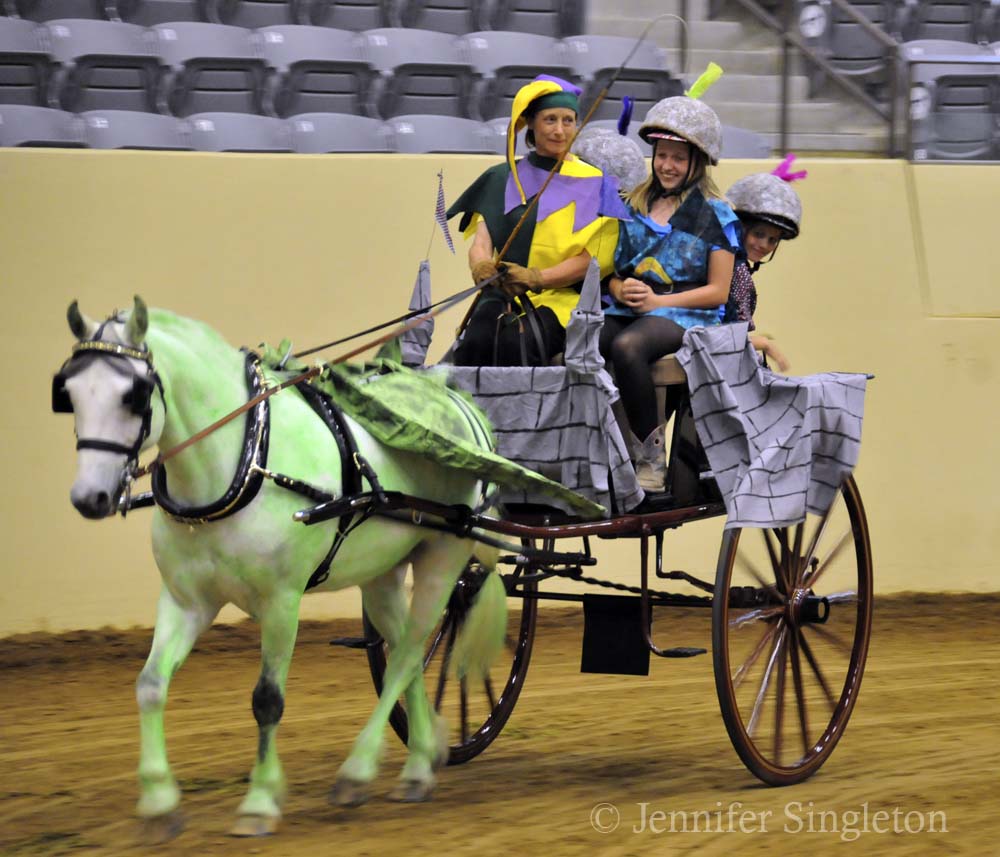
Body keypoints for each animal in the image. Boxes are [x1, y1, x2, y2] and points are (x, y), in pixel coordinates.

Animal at [52, 296, 509, 839]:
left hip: (444, 555)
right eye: (68, 393)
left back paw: (358, 770)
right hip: (381, 572)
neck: (242, 463)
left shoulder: (281, 602)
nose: (89, 498)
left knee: (405, 654)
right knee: (408, 653)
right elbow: (150, 686)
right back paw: (419, 763)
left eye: (134, 395)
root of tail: (461, 404)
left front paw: (260, 801)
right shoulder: (186, 601)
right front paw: (160, 801)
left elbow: (267, 699)